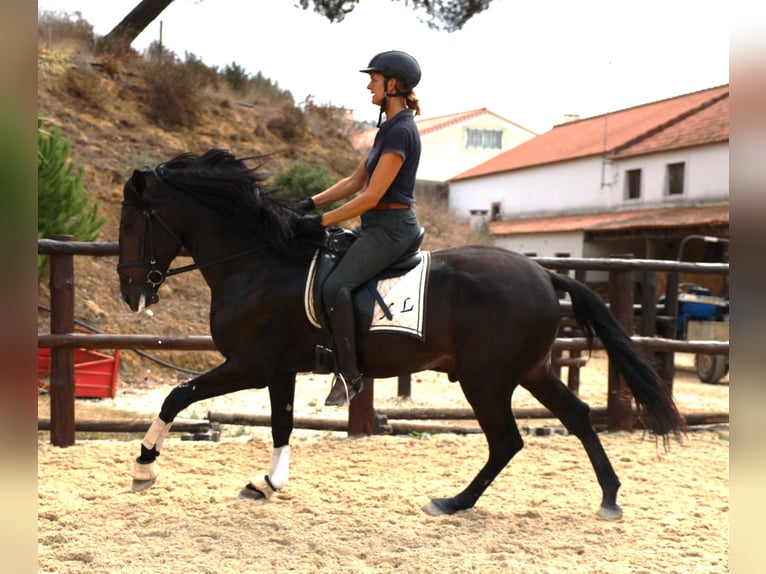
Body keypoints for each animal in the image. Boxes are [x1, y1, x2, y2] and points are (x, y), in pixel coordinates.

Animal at [118, 150, 684, 520]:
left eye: (131, 223)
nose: (130, 293)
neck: (258, 261)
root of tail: (545, 274)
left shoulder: (248, 365)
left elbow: (177, 395)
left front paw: (144, 468)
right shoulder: (278, 369)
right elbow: (281, 424)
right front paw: (268, 483)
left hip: (486, 379)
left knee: (507, 440)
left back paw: (454, 502)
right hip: (529, 370)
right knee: (577, 416)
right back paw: (609, 497)